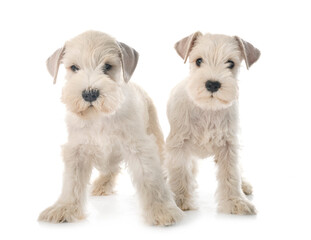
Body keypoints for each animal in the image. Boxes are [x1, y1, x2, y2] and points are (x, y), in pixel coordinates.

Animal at [39, 30, 185, 225]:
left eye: (107, 66)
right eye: (74, 67)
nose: (90, 94)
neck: (100, 117)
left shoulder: (139, 147)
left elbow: (150, 178)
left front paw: (161, 210)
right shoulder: (77, 150)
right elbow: (72, 182)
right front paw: (64, 208)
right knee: (111, 168)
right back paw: (101, 184)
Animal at [166, 31, 260, 214]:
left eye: (230, 63)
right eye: (198, 61)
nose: (212, 84)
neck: (207, 109)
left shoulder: (229, 146)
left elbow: (231, 174)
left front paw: (236, 201)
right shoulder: (178, 144)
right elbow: (179, 172)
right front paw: (180, 199)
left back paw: (244, 185)